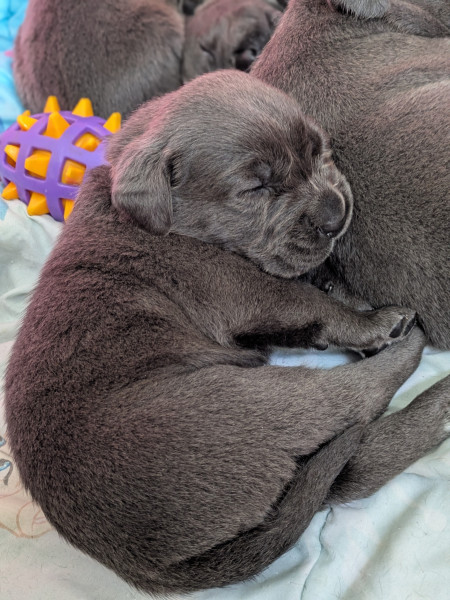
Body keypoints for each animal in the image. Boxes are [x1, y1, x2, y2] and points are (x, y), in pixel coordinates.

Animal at [5, 71, 450, 594]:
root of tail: (143, 565)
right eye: (256, 187)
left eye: (318, 149)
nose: (336, 215)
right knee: (358, 399)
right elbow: (308, 302)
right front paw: (370, 320)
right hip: (249, 405)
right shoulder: (239, 286)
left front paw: (340, 286)